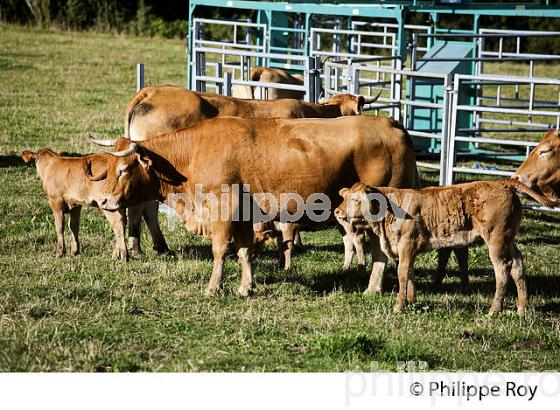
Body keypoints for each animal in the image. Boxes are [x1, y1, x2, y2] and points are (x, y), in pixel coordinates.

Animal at [87, 115, 420, 298]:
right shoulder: (246, 215)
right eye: (111, 167)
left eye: (124, 169)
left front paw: (214, 287)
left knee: (380, 251)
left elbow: (221, 249)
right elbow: (245, 251)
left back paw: (373, 286)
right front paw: (246, 287)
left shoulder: (223, 209)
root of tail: (390, 123)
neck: (194, 152)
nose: (104, 201)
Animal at [334, 179, 552, 314]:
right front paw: (411, 301)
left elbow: (403, 273)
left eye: (355, 199)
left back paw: (494, 309)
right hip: (508, 239)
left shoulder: (407, 244)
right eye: (344, 197)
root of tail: (501, 182)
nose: (337, 211)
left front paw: (399, 305)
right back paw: (521, 308)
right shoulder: (409, 250)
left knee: (503, 269)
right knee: (517, 265)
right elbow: (410, 273)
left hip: (496, 240)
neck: (390, 209)